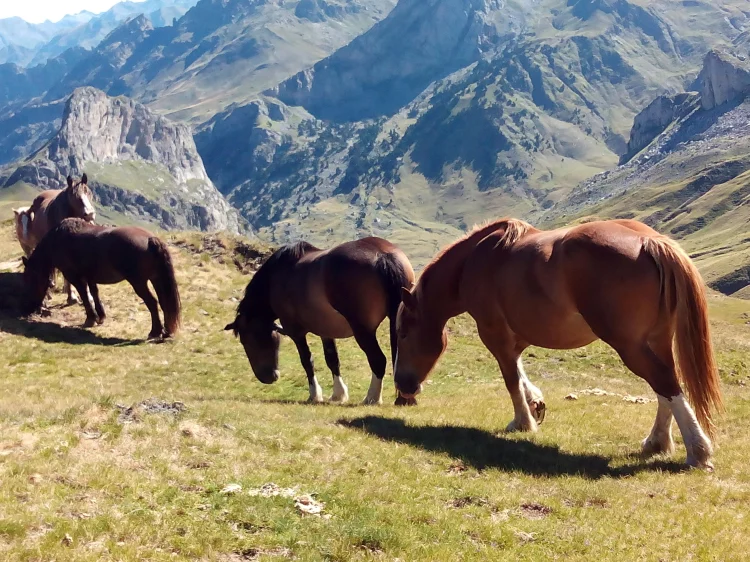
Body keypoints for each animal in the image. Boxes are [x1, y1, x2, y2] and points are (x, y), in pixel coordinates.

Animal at [22, 218, 181, 340]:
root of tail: (150, 239)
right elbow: (94, 294)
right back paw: (166, 332)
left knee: (152, 303)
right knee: (164, 302)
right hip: (156, 279)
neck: (58, 240)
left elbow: (85, 296)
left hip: (139, 283)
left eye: (29, 279)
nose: (30, 308)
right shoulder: (90, 277)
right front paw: (100, 317)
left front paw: (90, 319)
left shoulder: (75, 277)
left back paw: (155, 332)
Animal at [225, 238, 415, 405]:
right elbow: (332, 360)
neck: (278, 276)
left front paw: (315, 395)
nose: (267, 378)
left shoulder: (295, 332)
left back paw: (372, 398)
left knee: (378, 360)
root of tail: (383, 255)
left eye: (246, 341)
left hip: (363, 331)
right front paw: (338, 394)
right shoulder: (326, 330)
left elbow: (307, 360)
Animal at [393, 218, 723, 470]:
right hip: (656, 340)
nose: (403, 386)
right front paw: (535, 404)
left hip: (630, 346)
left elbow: (511, 378)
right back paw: (657, 442)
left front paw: (522, 422)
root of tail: (649, 240)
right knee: (664, 386)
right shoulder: (514, 337)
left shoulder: (493, 333)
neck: (476, 261)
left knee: (665, 382)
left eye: (405, 332)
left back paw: (697, 451)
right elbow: (519, 371)